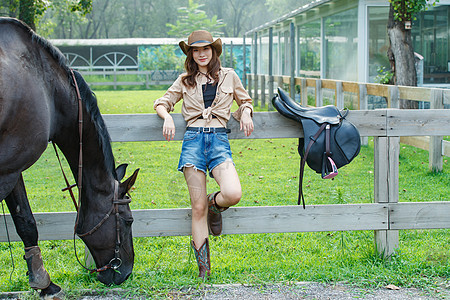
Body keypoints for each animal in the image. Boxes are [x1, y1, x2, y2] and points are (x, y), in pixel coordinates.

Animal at [0, 18, 140, 298]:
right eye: (128, 220)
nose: (126, 273)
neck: (47, 87)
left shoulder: (13, 168)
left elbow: (25, 221)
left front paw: (44, 283)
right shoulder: (6, 169)